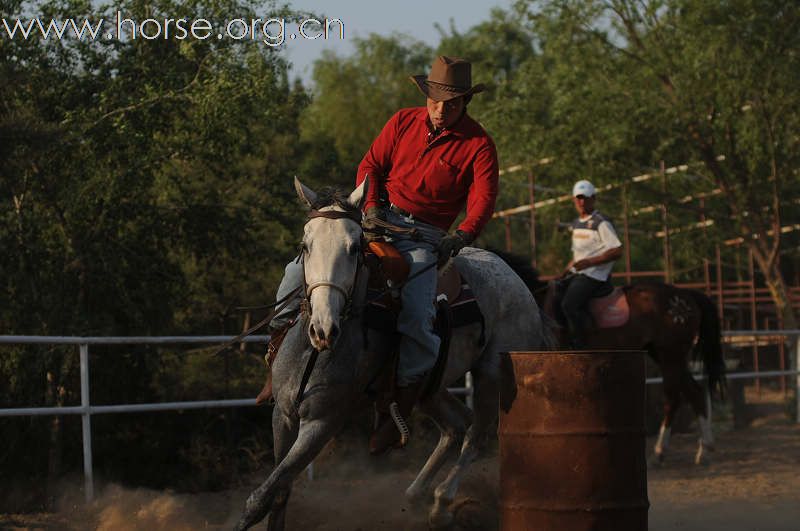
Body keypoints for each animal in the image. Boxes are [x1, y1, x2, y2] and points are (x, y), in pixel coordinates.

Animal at [234, 180, 552, 531]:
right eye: (305, 246)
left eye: (355, 248)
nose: (324, 328)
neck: (313, 351)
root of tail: (518, 281)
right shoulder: (283, 415)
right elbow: (279, 493)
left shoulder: (323, 422)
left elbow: (260, 498)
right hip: (430, 387)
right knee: (457, 424)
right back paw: (415, 495)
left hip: (490, 375)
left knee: (477, 435)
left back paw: (441, 504)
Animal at [494, 251, 724, 464]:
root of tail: (685, 295)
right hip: (663, 354)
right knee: (693, 391)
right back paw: (703, 450)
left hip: (671, 354)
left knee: (674, 396)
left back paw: (661, 451)